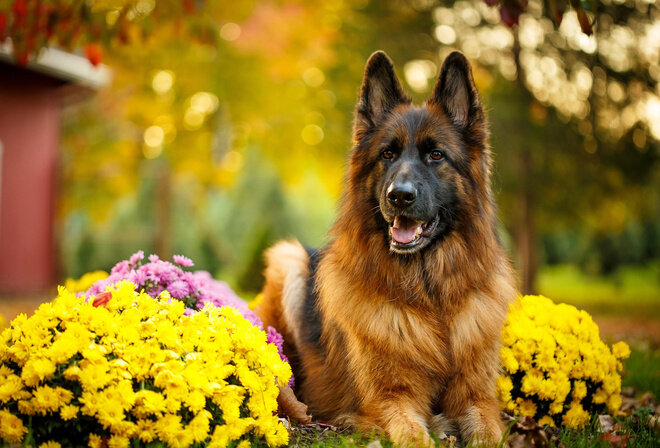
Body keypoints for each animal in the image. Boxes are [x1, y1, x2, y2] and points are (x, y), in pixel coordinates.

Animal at [255, 51, 520, 444]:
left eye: (436, 155)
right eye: (388, 154)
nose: (400, 196)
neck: (431, 297)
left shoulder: (478, 397)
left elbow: (489, 432)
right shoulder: (388, 398)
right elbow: (413, 435)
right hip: (289, 259)